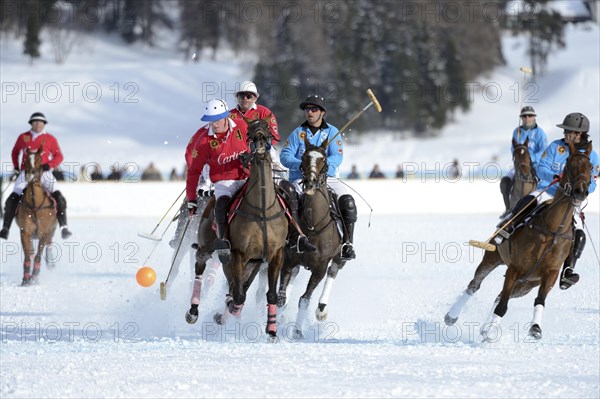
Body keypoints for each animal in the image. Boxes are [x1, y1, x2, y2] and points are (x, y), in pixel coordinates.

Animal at [15, 148, 58, 286]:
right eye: (26, 159)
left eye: (39, 159)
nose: (29, 174)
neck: (35, 205)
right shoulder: (25, 232)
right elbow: (29, 255)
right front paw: (26, 279)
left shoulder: (43, 232)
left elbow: (38, 256)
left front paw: (34, 277)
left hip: (51, 231)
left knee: (48, 245)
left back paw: (50, 265)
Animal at [278, 140, 346, 340]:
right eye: (303, 157)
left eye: (324, 159)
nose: (310, 182)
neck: (313, 225)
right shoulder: (289, 260)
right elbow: (281, 298)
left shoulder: (319, 267)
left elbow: (304, 299)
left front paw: (297, 332)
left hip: (339, 256)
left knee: (333, 271)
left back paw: (321, 310)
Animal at [448, 142, 592, 342]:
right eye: (570, 165)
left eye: (591, 167)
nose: (580, 192)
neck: (553, 229)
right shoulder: (514, 269)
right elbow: (502, 305)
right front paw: (490, 335)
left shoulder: (551, 273)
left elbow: (539, 300)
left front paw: (535, 328)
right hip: (493, 258)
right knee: (474, 286)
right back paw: (452, 316)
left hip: (527, 285)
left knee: (499, 296)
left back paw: (485, 328)